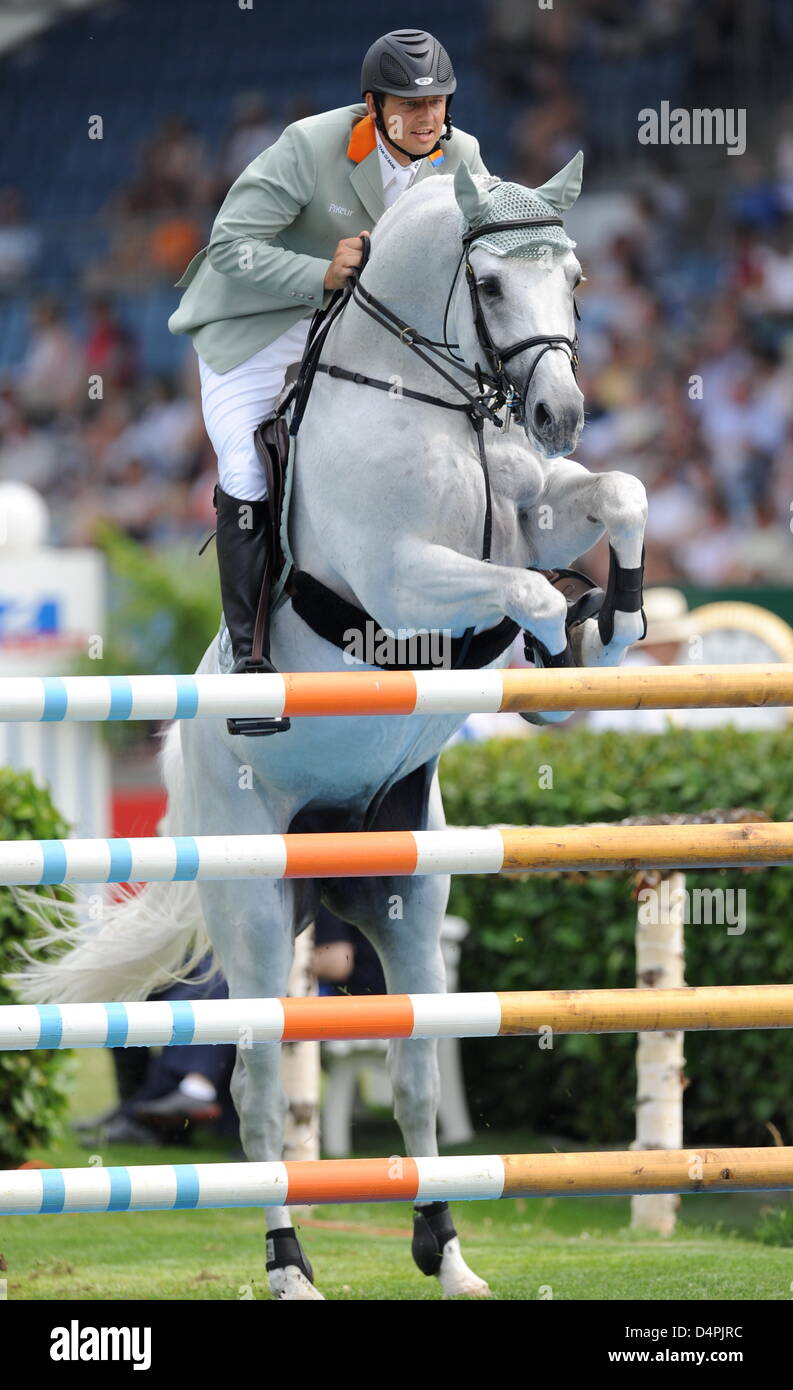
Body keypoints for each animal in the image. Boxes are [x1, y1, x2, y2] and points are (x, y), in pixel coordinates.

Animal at [13, 156, 647, 1299]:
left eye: (575, 277)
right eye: (491, 284)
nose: (560, 413)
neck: (434, 402)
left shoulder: (536, 507)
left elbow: (616, 496)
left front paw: (611, 618)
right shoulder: (403, 587)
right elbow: (523, 585)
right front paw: (558, 647)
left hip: (403, 900)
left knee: (411, 1074)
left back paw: (446, 1251)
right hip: (260, 911)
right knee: (259, 1088)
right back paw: (289, 1263)